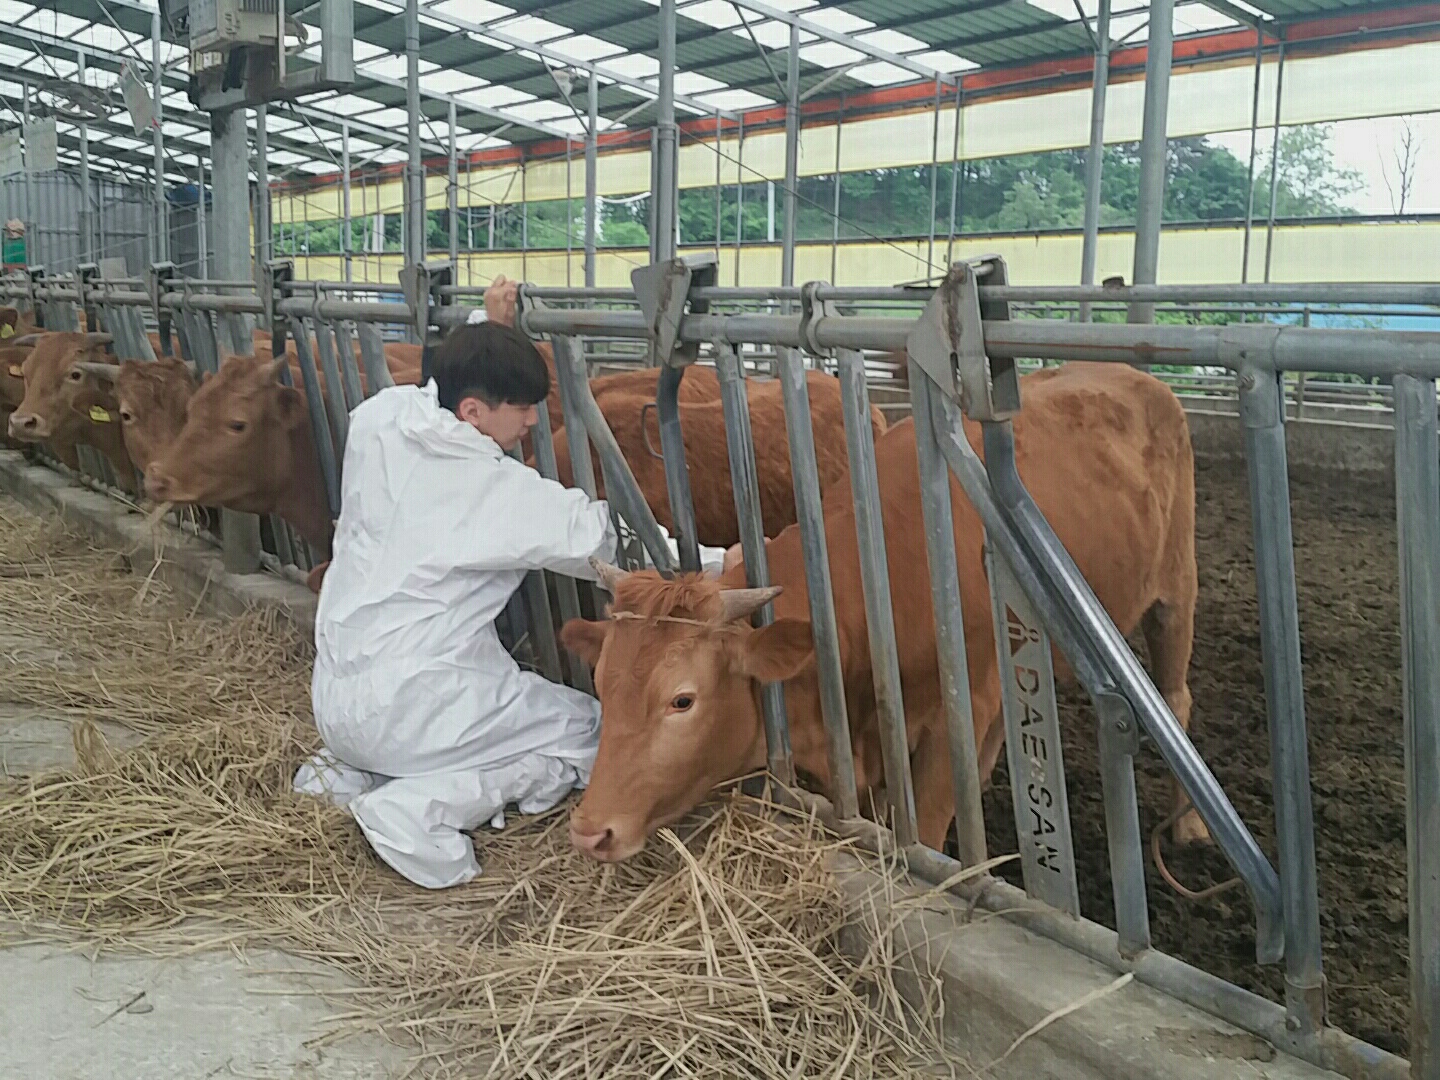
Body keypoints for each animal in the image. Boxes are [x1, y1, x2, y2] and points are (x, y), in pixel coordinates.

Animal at [558, 364, 1203, 864]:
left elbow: (929, 829)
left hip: (1176, 590)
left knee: (1176, 697)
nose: (590, 831)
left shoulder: (958, 716)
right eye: (601, 683)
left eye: (682, 701)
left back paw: (1190, 824)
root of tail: (1138, 376)